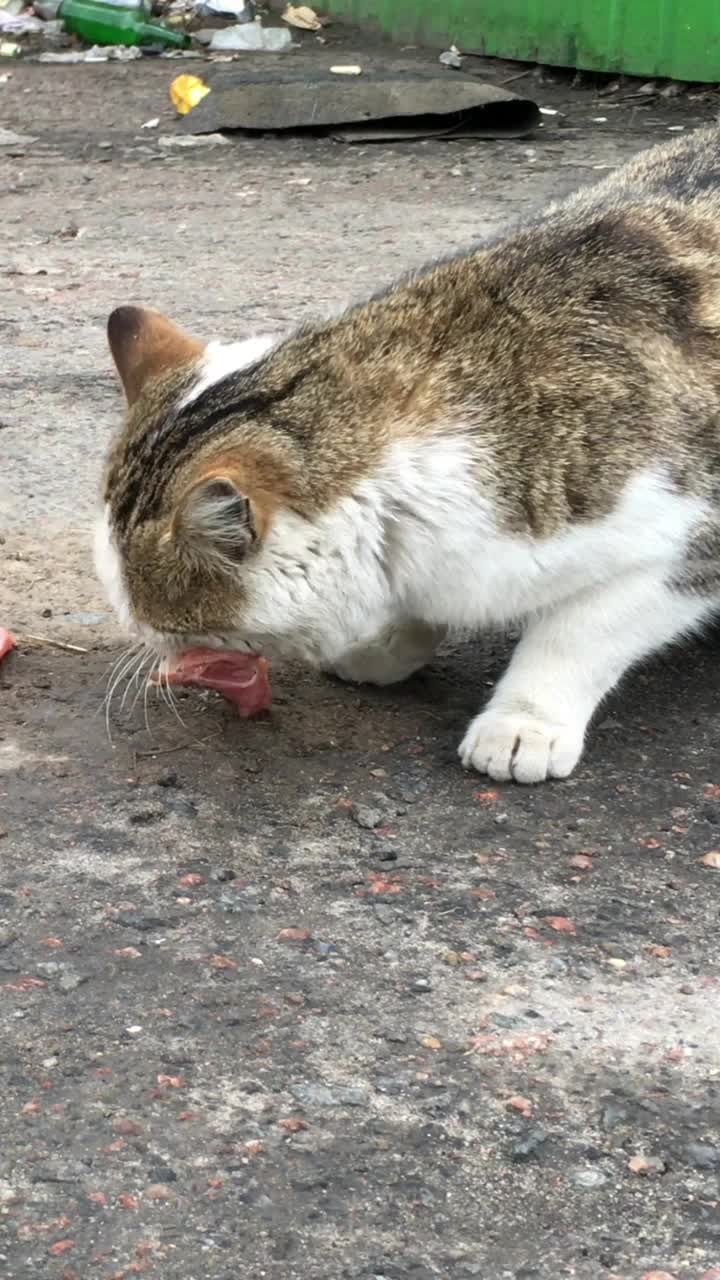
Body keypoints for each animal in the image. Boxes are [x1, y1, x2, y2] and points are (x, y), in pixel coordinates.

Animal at [94, 124, 720, 778]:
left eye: (158, 622)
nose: (145, 646)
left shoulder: (688, 543)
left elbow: (580, 633)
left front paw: (525, 720)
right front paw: (388, 644)